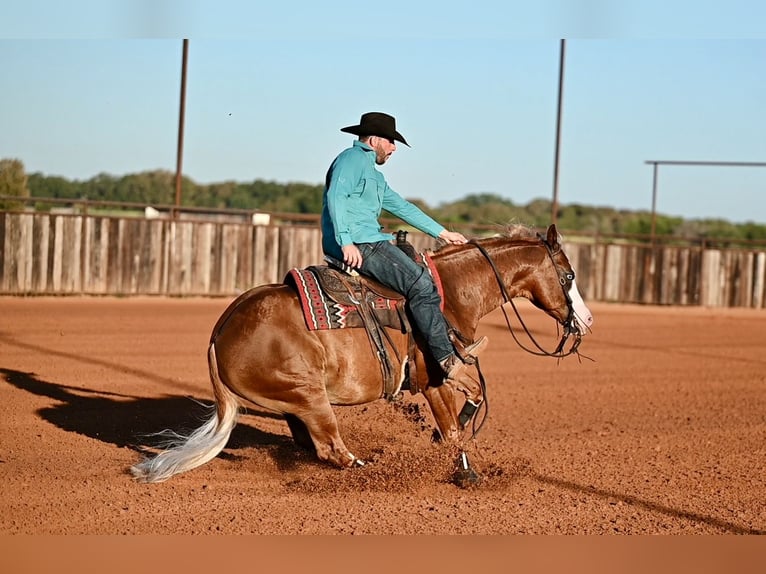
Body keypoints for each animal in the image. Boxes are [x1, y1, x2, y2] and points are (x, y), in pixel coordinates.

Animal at [130, 223, 593, 484]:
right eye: (568, 275)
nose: (586, 320)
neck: (449, 293)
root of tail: (219, 331)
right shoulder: (436, 379)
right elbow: (455, 428)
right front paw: (466, 472)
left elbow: (462, 415)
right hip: (309, 396)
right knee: (329, 448)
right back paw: (370, 470)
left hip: (294, 401)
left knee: (309, 444)